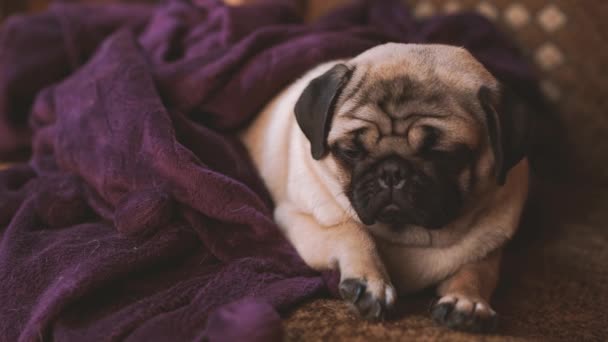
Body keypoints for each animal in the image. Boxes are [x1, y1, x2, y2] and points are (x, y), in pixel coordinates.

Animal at [240, 42, 528, 332]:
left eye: (443, 155)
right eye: (351, 152)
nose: (391, 171)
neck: (411, 238)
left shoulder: (488, 249)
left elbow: (476, 272)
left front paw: (467, 301)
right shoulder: (299, 219)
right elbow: (351, 230)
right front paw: (370, 281)